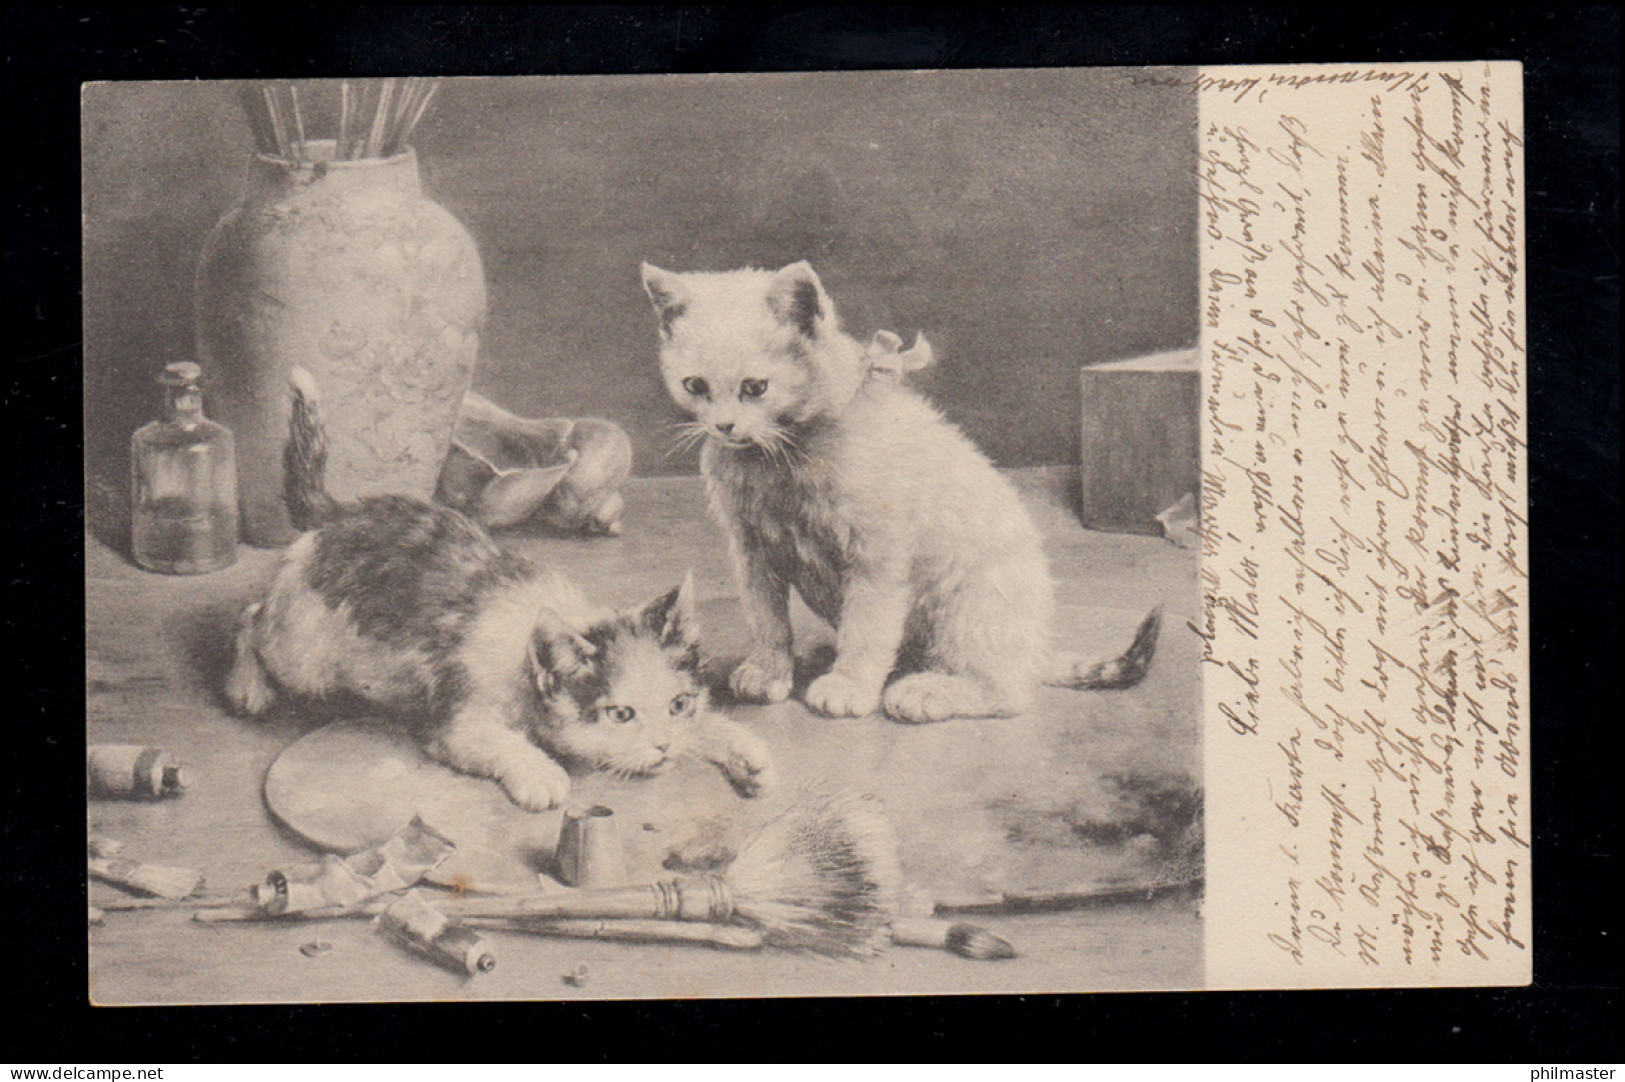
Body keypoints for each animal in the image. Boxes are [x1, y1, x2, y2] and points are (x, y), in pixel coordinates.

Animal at [227, 367, 773, 805]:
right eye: (620, 715)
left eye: (679, 704)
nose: (662, 746)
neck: (527, 658)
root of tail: (340, 513)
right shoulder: (459, 722)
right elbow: (501, 742)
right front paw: (541, 773)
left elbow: (704, 725)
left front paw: (735, 744)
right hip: (306, 652)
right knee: (251, 620)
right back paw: (247, 686)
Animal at [640, 256, 1163, 721]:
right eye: (695, 386)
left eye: (754, 388)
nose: (724, 426)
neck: (783, 454)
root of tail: (1035, 649)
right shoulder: (752, 550)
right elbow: (765, 617)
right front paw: (769, 670)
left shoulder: (878, 553)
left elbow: (868, 628)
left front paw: (848, 685)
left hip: (970, 605)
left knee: (1006, 692)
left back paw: (927, 692)